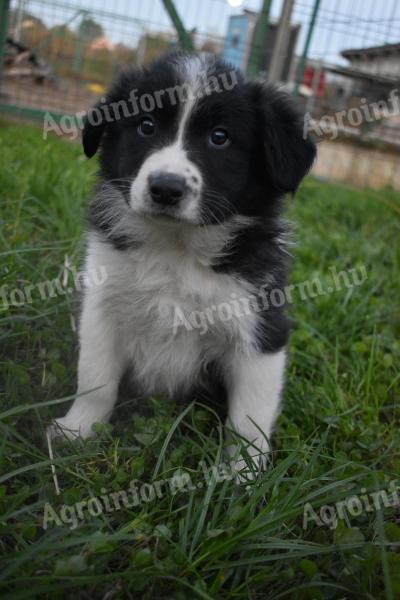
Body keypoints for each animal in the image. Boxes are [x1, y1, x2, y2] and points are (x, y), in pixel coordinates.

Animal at [50, 52, 316, 468]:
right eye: (145, 126)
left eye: (219, 137)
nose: (166, 188)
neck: (176, 247)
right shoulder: (102, 309)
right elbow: (95, 379)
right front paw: (77, 432)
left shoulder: (261, 328)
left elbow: (249, 420)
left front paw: (242, 475)